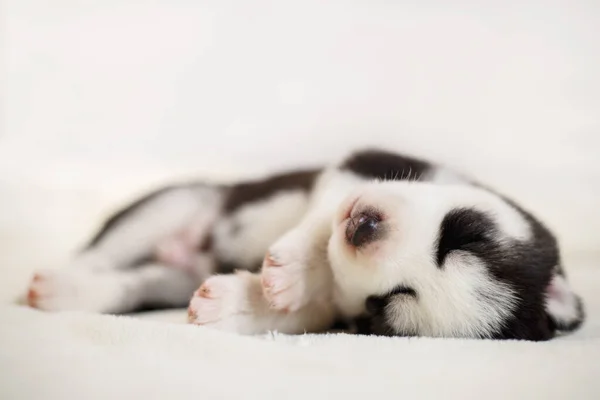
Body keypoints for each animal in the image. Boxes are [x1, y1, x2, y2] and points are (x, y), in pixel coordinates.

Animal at [25, 148, 584, 340]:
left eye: (388, 302)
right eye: (463, 236)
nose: (363, 230)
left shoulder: (337, 314)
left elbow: (306, 310)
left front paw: (240, 303)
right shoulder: (361, 165)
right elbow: (320, 222)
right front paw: (297, 269)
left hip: (168, 276)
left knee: (134, 284)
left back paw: (71, 295)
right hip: (174, 203)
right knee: (98, 253)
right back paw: (61, 281)